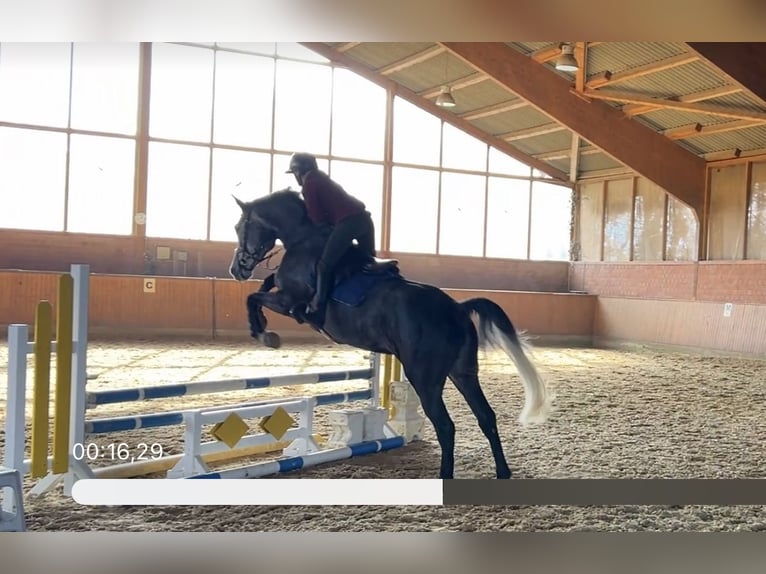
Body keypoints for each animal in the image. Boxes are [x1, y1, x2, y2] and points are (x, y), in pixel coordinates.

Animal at [230, 190, 552, 482]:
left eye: (239, 227)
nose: (236, 269)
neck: (301, 240)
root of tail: (457, 309)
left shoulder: (287, 301)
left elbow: (254, 297)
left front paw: (262, 332)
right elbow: (264, 285)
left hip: (425, 379)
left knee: (446, 425)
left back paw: (446, 475)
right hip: (463, 373)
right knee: (486, 416)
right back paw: (502, 472)